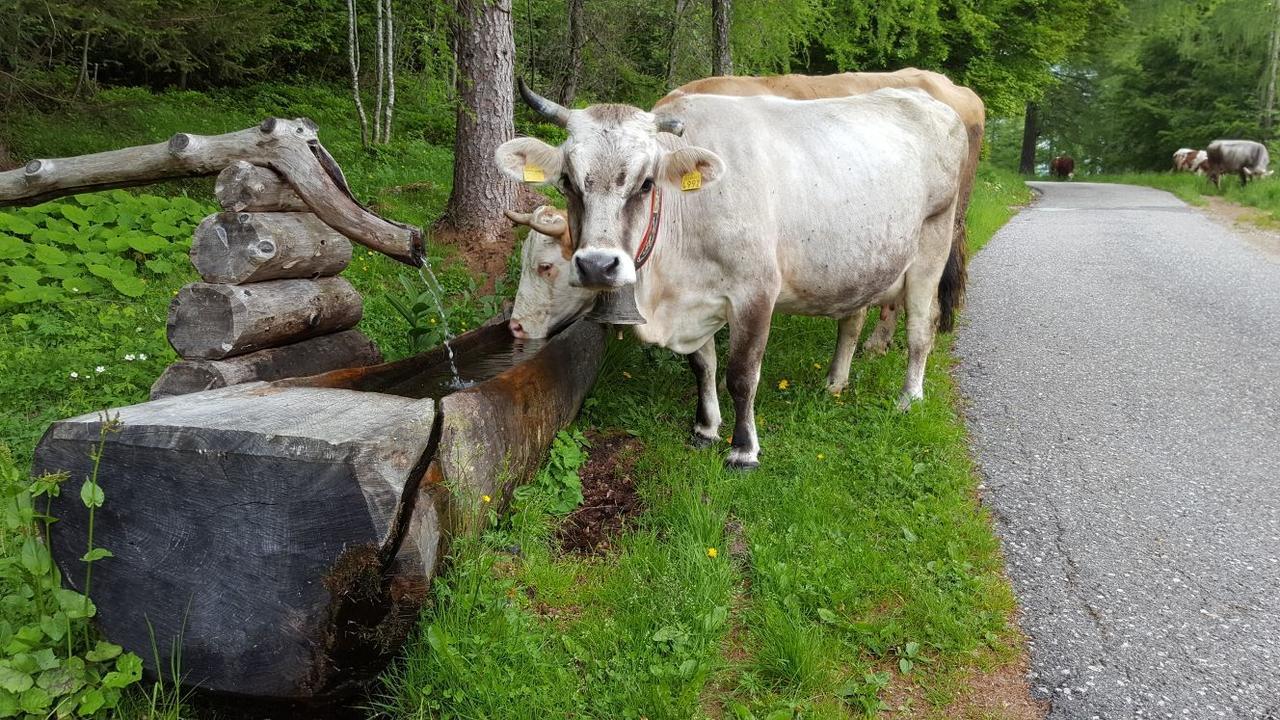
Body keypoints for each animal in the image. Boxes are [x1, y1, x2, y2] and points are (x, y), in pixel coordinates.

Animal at [499, 85, 967, 466]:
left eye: (646, 183)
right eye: (567, 181)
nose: (597, 264)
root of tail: (932, 102)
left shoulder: (755, 294)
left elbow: (741, 376)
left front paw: (743, 449)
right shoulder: (696, 301)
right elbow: (703, 366)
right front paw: (706, 429)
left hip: (932, 245)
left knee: (921, 329)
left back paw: (909, 398)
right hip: (862, 263)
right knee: (852, 320)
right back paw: (835, 383)